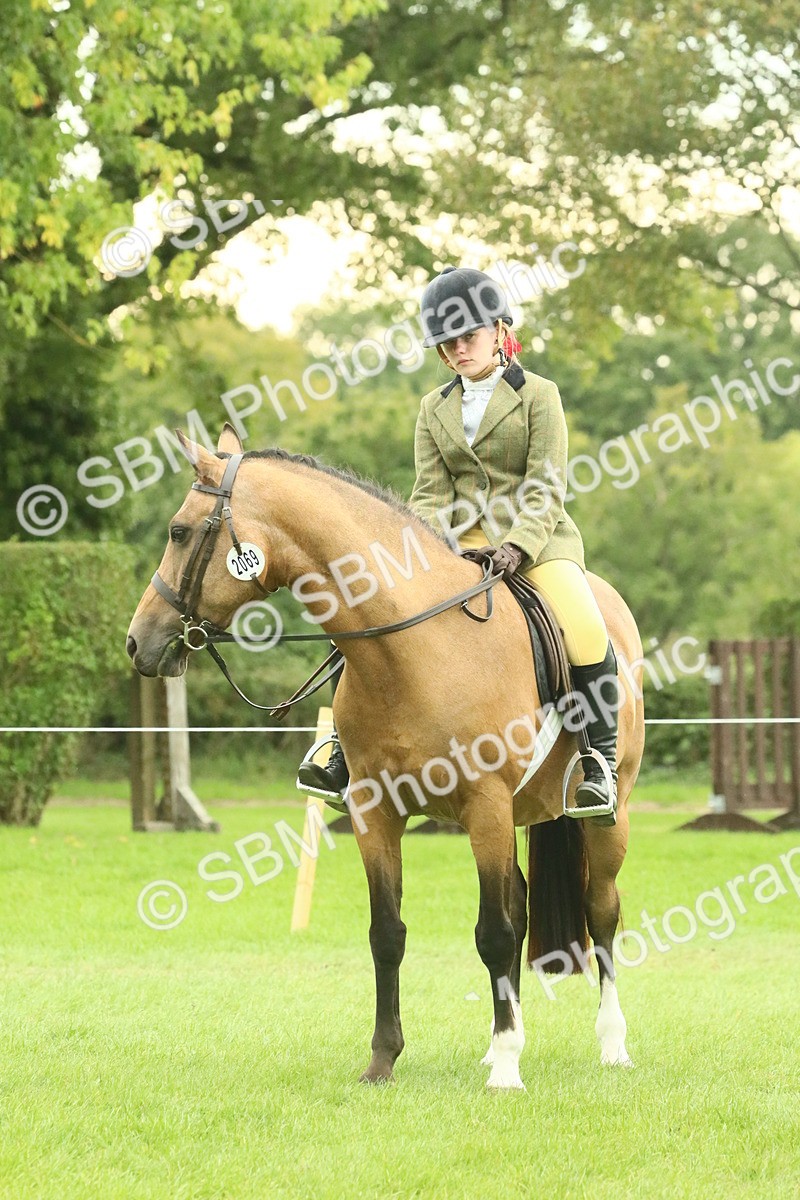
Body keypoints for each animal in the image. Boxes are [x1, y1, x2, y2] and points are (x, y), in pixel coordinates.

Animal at [126, 423, 645, 1091]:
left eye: (179, 532)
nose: (138, 642)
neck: (414, 649)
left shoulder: (485, 808)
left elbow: (494, 934)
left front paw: (507, 1070)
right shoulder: (376, 814)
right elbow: (388, 934)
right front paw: (383, 1060)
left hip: (607, 818)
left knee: (601, 914)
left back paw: (610, 1044)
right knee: (525, 906)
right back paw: (502, 1041)